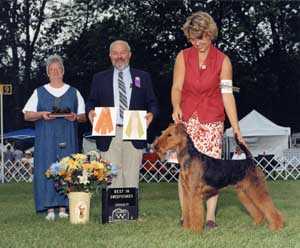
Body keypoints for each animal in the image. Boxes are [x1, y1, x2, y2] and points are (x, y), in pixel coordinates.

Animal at [155, 123, 284, 232]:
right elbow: (187, 210)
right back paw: (258, 223)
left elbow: (195, 212)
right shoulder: (187, 192)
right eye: (164, 133)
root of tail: (249, 160)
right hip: (244, 191)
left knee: (268, 206)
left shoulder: (194, 193)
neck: (189, 157)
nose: (155, 146)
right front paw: (187, 228)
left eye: (169, 135)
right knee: (257, 209)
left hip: (255, 188)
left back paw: (277, 225)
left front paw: (195, 230)